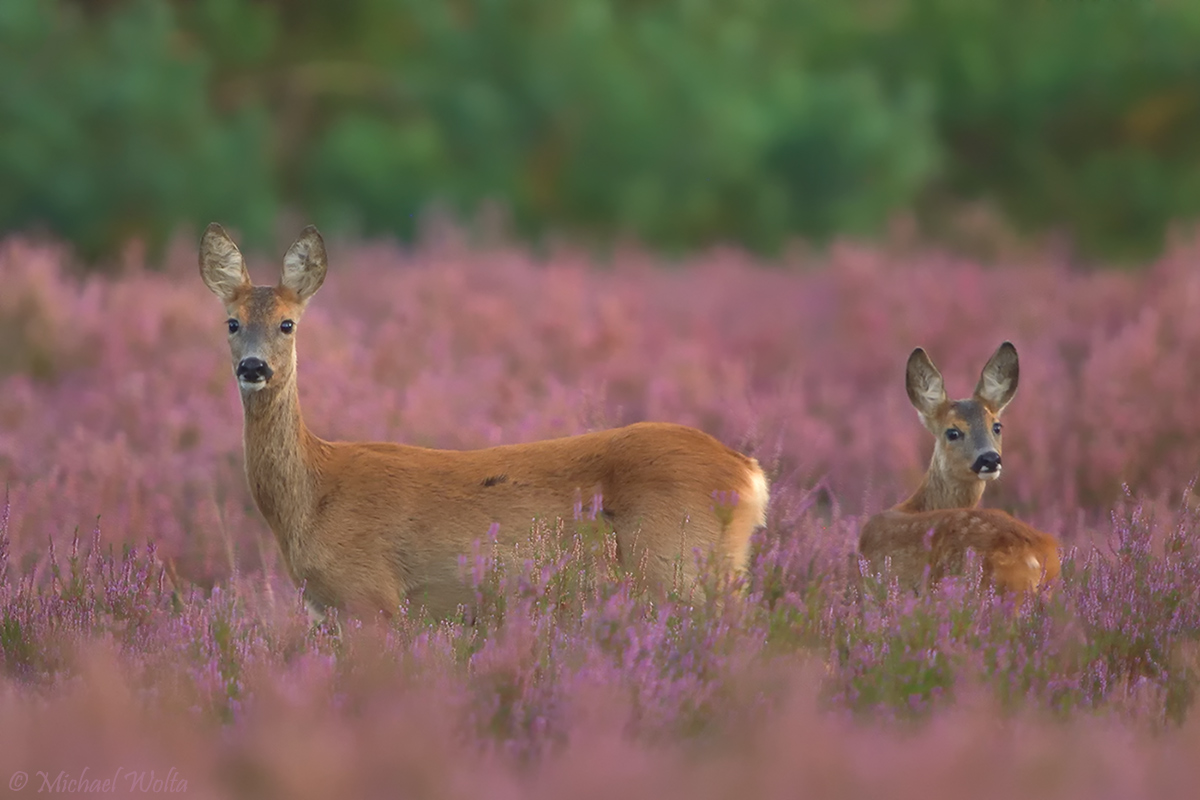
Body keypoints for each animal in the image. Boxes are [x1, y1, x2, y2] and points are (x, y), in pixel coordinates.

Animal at [199, 224, 768, 618]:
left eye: (287, 323)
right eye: (231, 322)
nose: (254, 368)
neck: (313, 497)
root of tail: (749, 473)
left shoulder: (371, 594)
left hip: (676, 566)